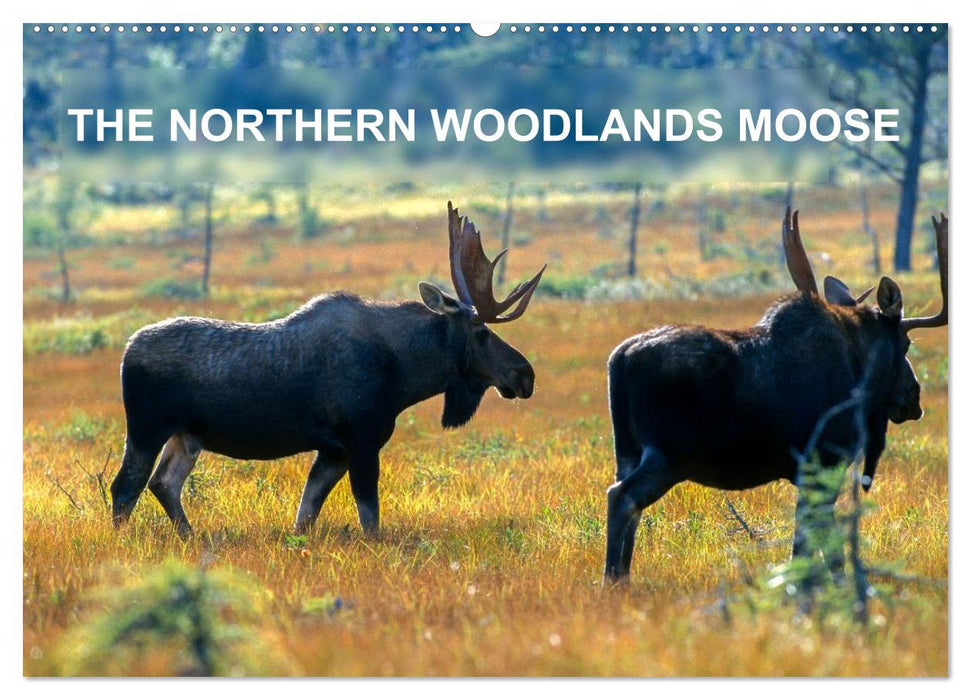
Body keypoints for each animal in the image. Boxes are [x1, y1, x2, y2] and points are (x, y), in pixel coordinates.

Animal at [110, 202, 546, 539]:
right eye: (481, 332)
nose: (525, 375)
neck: (404, 375)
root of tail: (126, 351)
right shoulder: (360, 440)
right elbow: (369, 519)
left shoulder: (333, 451)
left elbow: (305, 515)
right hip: (147, 427)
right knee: (125, 487)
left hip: (187, 436)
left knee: (163, 484)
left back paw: (190, 535)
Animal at [604, 208, 947, 584]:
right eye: (907, 343)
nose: (914, 397)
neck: (861, 372)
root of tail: (620, 358)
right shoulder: (826, 458)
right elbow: (819, 542)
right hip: (669, 454)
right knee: (623, 498)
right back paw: (612, 581)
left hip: (628, 451)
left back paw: (621, 577)